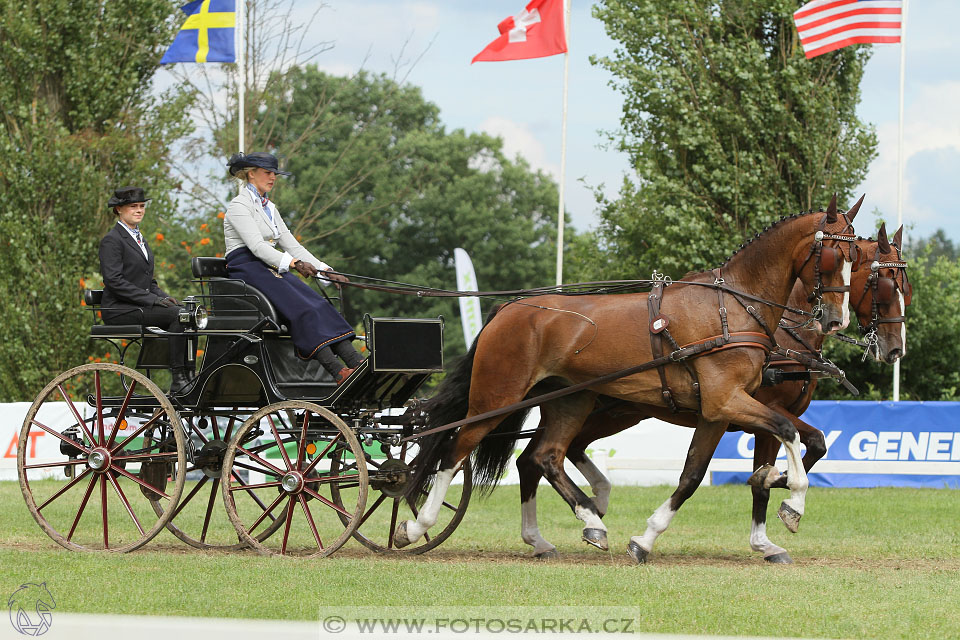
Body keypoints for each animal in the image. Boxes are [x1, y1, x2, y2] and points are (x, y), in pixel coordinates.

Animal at [396, 205, 856, 560]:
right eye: (834, 256)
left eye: (858, 257)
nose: (837, 320)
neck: (734, 309)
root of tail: (511, 308)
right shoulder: (727, 401)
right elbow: (787, 432)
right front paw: (792, 501)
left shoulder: (717, 410)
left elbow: (698, 473)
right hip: (497, 397)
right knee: (456, 450)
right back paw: (418, 527)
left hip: (570, 402)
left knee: (544, 457)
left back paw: (584, 524)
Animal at [510, 222, 908, 564]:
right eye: (885, 286)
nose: (894, 350)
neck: (782, 331)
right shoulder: (755, 410)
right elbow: (792, 453)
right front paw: (780, 493)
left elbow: (811, 446)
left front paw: (769, 515)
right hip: (609, 413)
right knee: (542, 456)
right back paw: (575, 517)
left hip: (609, 412)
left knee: (540, 456)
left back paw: (561, 525)